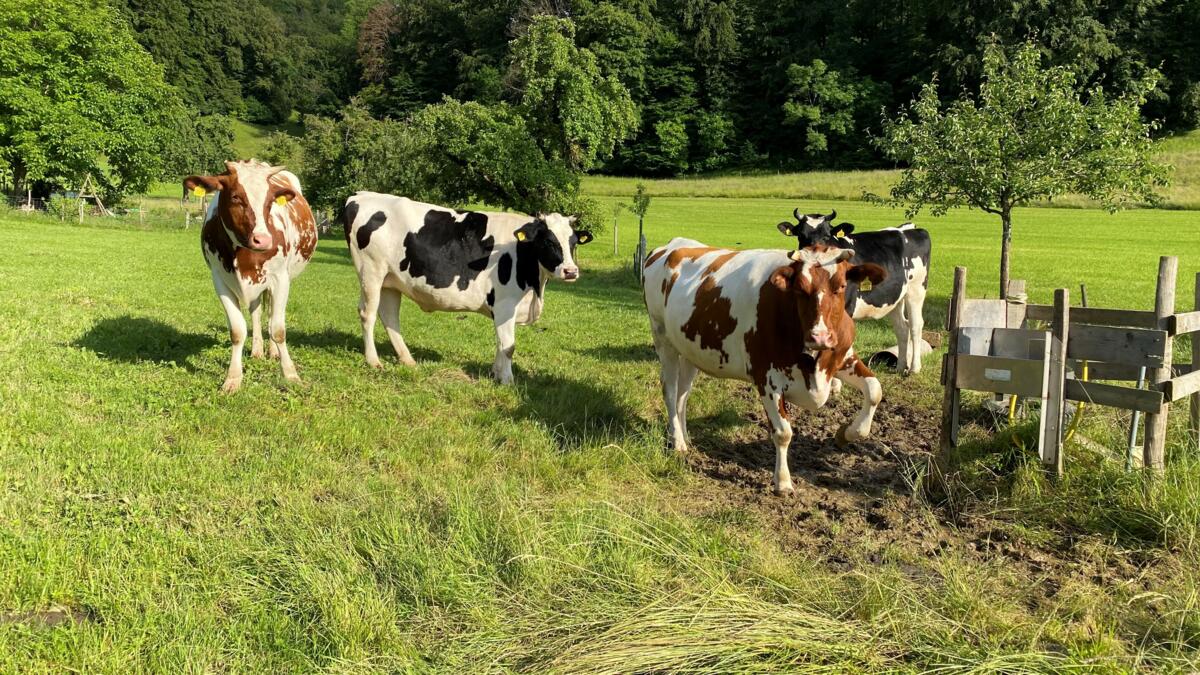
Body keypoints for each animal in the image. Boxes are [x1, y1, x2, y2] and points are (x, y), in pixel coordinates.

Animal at [184, 160, 317, 393]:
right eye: (236, 197)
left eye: (271, 201)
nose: (263, 240)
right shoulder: (220, 280)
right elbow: (237, 331)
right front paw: (233, 378)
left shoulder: (280, 279)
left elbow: (278, 329)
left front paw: (291, 375)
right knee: (256, 312)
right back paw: (257, 350)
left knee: (271, 314)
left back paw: (273, 352)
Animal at [342, 193, 593, 384]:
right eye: (549, 242)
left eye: (573, 243)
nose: (571, 271)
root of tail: (361, 195)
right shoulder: (505, 304)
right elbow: (508, 345)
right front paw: (507, 381)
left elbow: (500, 342)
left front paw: (495, 373)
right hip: (371, 272)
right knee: (367, 314)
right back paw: (373, 361)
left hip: (391, 280)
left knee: (390, 316)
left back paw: (407, 360)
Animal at [642, 238, 887, 496]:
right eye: (799, 289)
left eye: (840, 286)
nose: (819, 336)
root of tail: (673, 244)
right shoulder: (767, 379)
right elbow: (783, 432)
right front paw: (783, 482)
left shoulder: (844, 357)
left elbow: (874, 390)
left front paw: (845, 434)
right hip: (663, 338)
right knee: (670, 392)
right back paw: (677, 441)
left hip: (690, 350)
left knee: (683, 394)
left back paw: (685, 436)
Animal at [777, 210, 931, 375]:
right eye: (801, 235)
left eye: (827, 236)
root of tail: (908, 228)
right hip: (895, 297)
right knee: (902, 328)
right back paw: (901, 366)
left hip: (916, 290)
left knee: (915, 325)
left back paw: (914, 368)